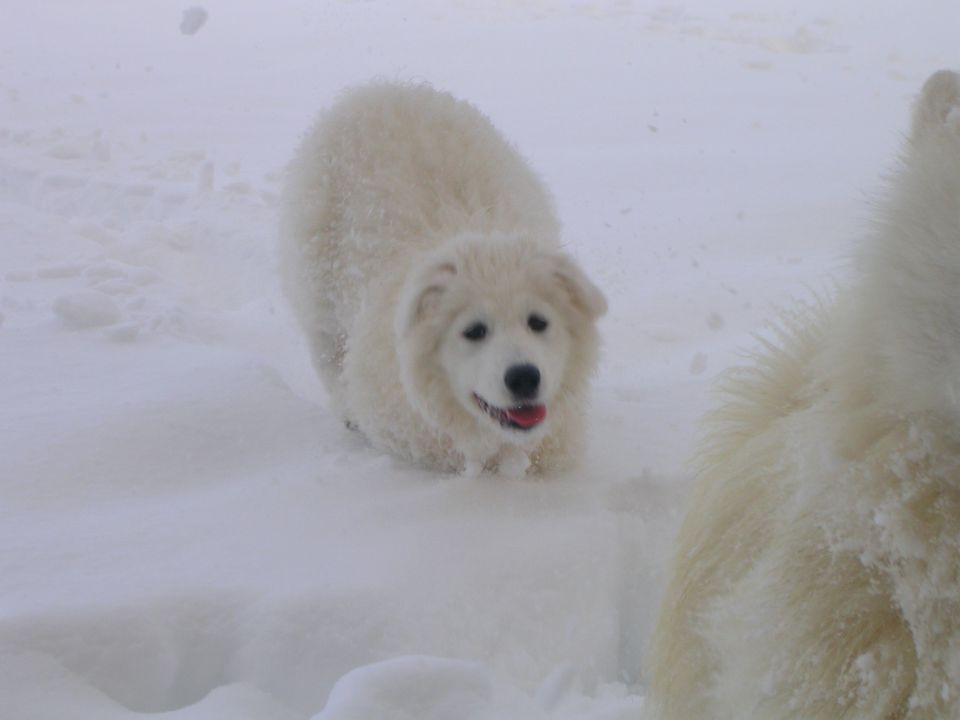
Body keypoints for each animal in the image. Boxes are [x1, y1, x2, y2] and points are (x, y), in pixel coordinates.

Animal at [282, 81, 604, 476]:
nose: (525, 377)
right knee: (328, 350)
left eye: (538, 322)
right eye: (474, 331)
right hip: (318, 284)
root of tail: (375, 88)